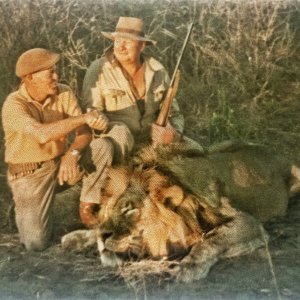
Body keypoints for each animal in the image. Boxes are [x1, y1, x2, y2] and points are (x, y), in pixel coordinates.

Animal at [61, 142, 300, 282]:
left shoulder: (248, 222)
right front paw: (78, 237)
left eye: (130, 209)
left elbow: (211, 240)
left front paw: (190, 267)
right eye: (108, 212)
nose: (103, 237)